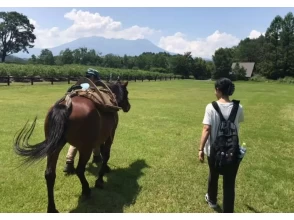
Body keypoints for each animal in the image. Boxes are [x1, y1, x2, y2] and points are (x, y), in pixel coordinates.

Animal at [13, 80, 131, 212]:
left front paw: (104, 168)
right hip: (85, 148)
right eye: (127, 92)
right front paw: (100, 180)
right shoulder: (110, 134)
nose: (128, 106)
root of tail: (66, 106)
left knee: (49, 174)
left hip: (54, 148)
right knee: (79, 170)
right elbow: (106, 155)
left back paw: (52, 208)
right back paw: (86, 190)